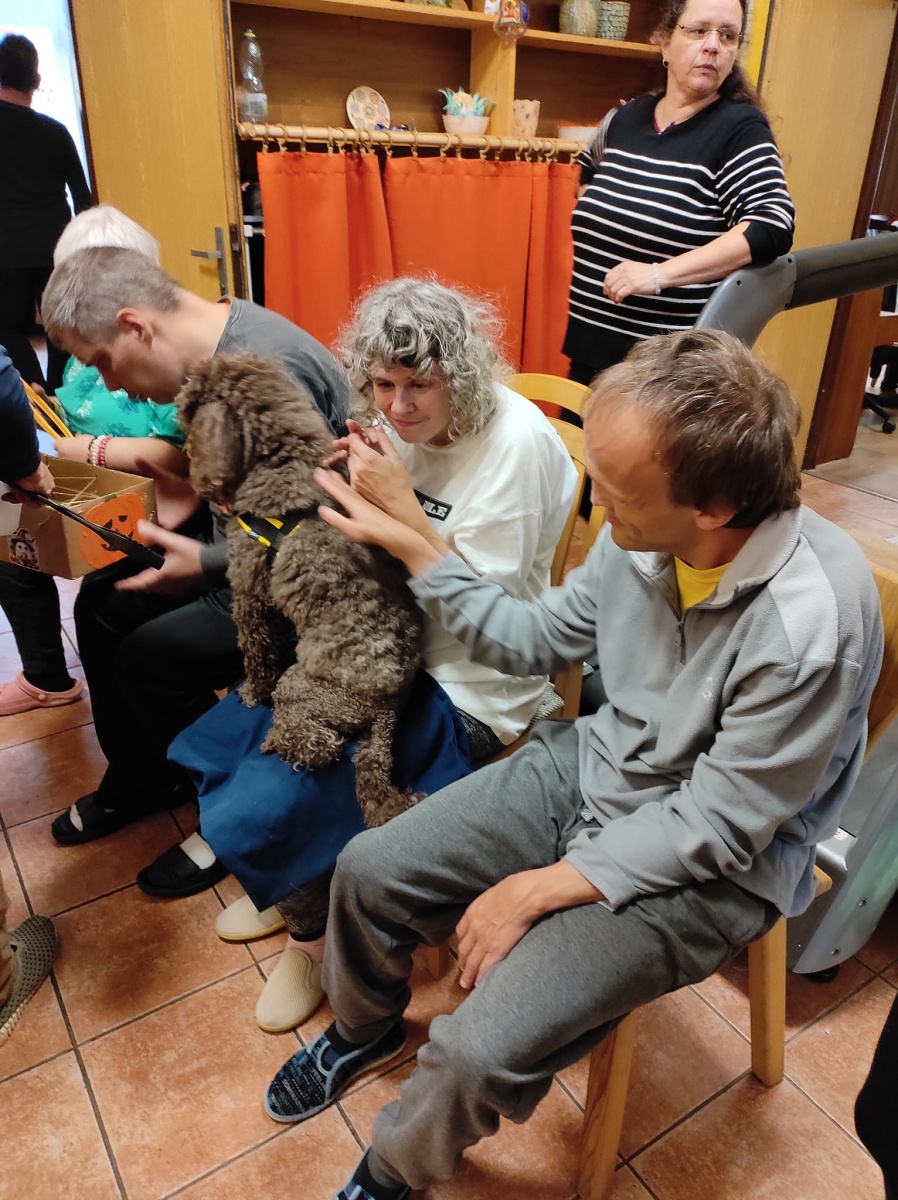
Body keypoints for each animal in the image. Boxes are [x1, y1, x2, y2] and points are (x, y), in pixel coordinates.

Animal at [176, 352, 424, 827]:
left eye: (187, 412)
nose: (187, 460)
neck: (279, 461)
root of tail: (387, 708)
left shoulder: (250, 592)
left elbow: (256, 653)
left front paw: (251, 693)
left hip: (300, 689)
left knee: (321, 745)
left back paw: (277, 740)